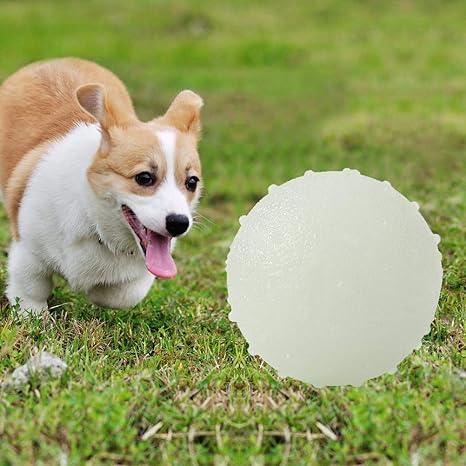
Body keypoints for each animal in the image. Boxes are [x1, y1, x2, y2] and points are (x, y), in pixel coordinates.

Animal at [0, 56, 204, 314]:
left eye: (192, 182)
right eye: (144, 178)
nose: (179, 223)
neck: (94, 222)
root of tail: (52, 60)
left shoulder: (138, 277)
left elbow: (119, 294)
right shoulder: (29, 252)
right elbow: (30, 292)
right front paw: (34, 316)